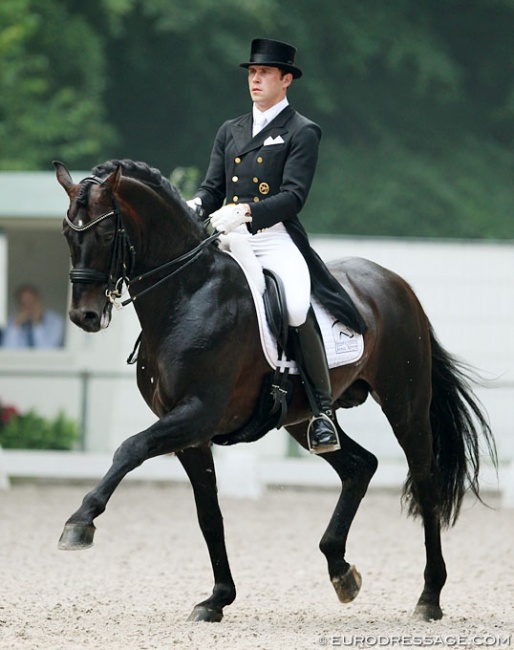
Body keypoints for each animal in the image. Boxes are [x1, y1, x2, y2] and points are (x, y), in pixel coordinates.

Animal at [54, 158, 494, 624]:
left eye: (105, 232)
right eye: (66, 233)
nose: (84, 316)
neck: (188, 294)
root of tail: (396, 283)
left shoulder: (197, 414)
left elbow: (129, 449)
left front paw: (80, 523)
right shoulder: (190, 433)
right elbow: (209, 516)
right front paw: (217, 599)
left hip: (405, 403)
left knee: (425, 483)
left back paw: (429, 598)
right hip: (303, 418)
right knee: (360, 466)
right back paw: (341, 571)